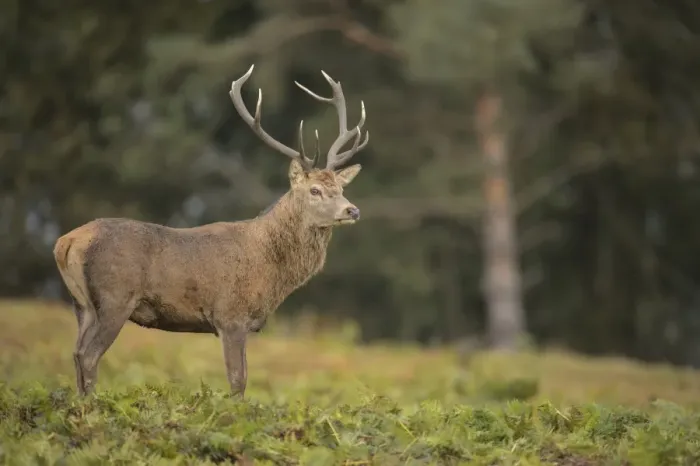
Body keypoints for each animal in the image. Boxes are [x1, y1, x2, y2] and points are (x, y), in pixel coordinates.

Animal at [52, 64, 369, 397]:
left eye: (341, 188)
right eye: (315, 190)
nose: (352, 210)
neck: (271, 271)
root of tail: (66, 242)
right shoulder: (230, 316)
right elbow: (238, 381)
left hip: (81, 305)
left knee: (76, 352)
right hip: (115, 297)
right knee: (89, 355)